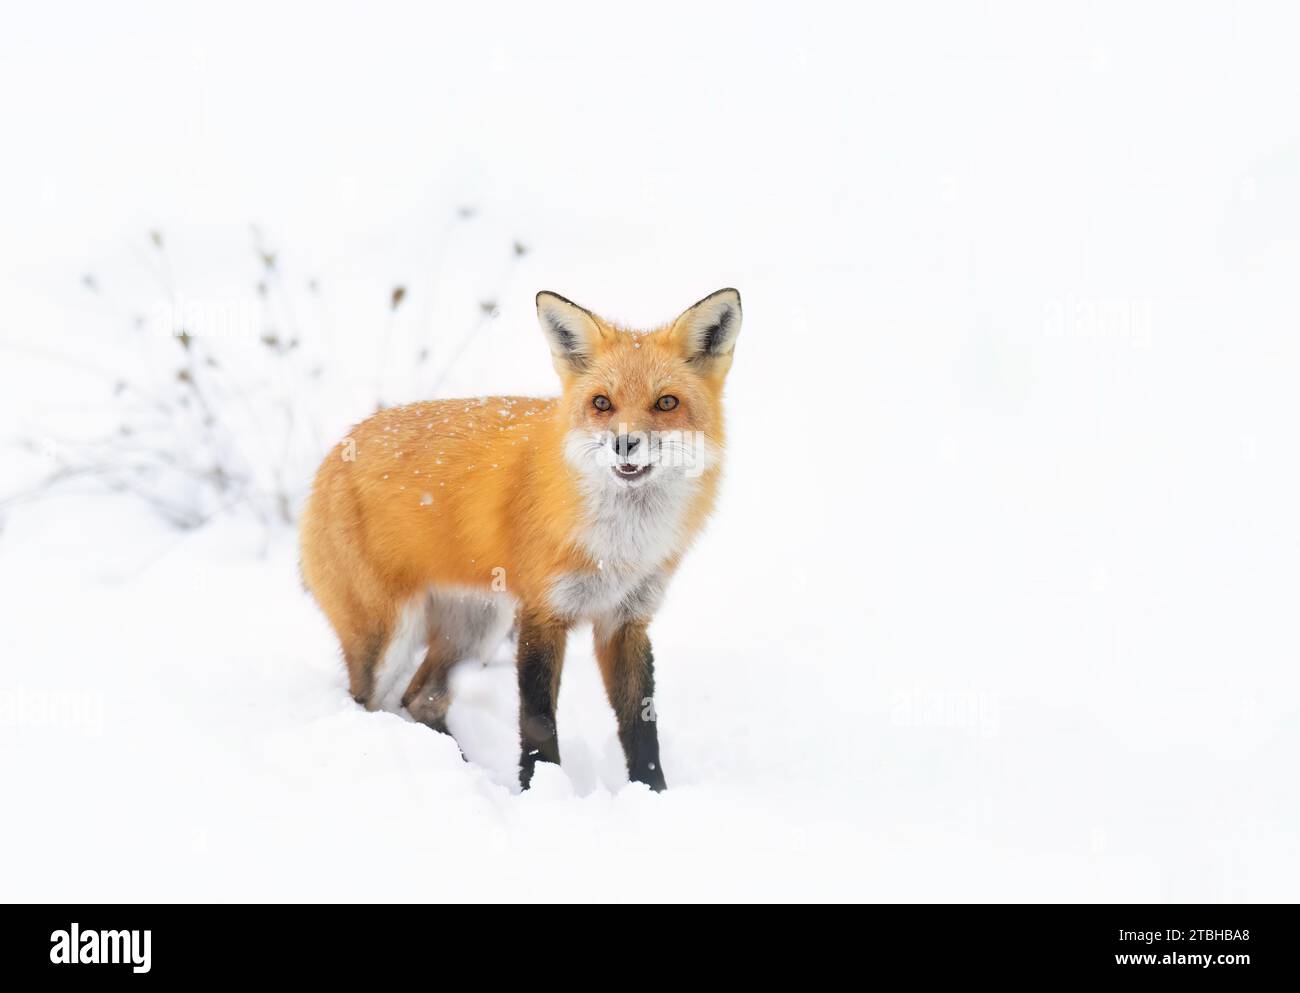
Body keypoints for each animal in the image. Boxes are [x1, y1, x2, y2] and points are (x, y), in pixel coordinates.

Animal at [297, 287, 743, 790]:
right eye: (602, 403)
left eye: (666, 403)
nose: (624, 443)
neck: (618, 547)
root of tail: (334, 455)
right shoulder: (542, 613)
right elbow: (538, 721)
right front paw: (542, 789)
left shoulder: (626, 620)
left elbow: (639, 725)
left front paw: (652, 792)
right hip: (388, 637)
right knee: (370, 703)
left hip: (476, 628)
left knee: (421, 699)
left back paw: (470, 772)